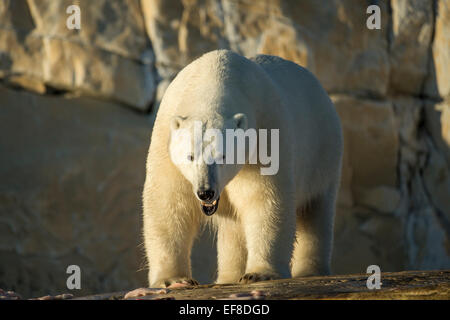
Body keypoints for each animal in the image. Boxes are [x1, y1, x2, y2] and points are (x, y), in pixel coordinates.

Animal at [142, 50, 342, 288]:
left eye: (223, 156)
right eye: (189, 156)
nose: (205, 192)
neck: (212, 77)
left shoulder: (265, 135)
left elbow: (264, 199)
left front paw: (259, 273)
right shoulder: (165, 140)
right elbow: (168, 203)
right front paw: (172, 280)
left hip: (322, 151)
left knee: (316, 211)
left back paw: (310, 270)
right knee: (233, 227)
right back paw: (227, 277)